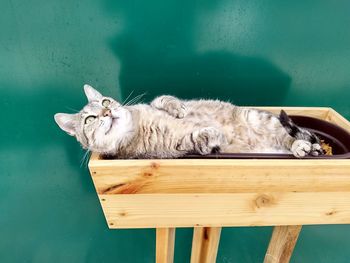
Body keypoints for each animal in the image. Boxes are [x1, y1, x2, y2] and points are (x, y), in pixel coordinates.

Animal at [53, 85, 324, 159]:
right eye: (90, 119)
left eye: (106, 102)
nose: (107, 113)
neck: (136, 126)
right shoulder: (174, 148)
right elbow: (198, 138)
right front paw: (216, 135)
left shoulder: (153, 102)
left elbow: (163, 98)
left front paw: (178, 108)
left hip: (259, 118)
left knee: (291, 136)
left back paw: (304, 146)